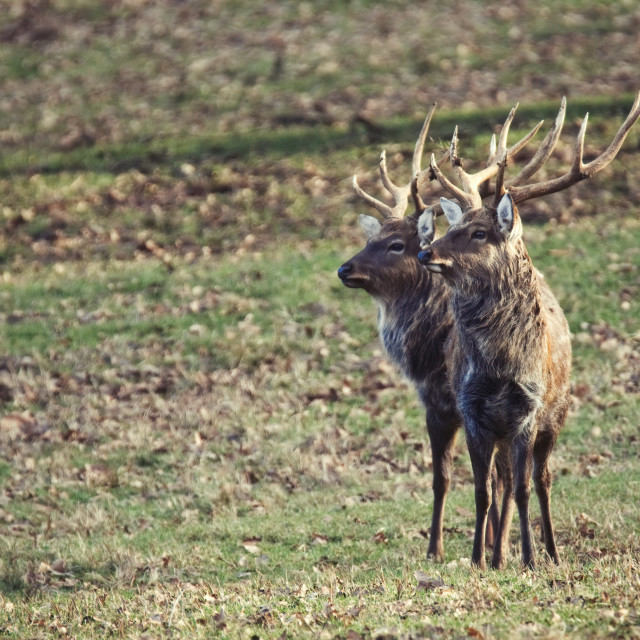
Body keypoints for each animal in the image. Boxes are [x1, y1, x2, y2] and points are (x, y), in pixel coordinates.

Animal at [416, 91, 640, 568]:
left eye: (479, 233)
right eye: (453, 225)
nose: (427, 253)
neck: (500, 367)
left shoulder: (529, 411)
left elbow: (521, 488)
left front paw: (531, 559)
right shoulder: (473, 411)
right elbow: (482, 492)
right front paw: (479, 559)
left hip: (558, 414)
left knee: (542, 480)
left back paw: (550, 552)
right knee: (503, 481)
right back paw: (500, 554)